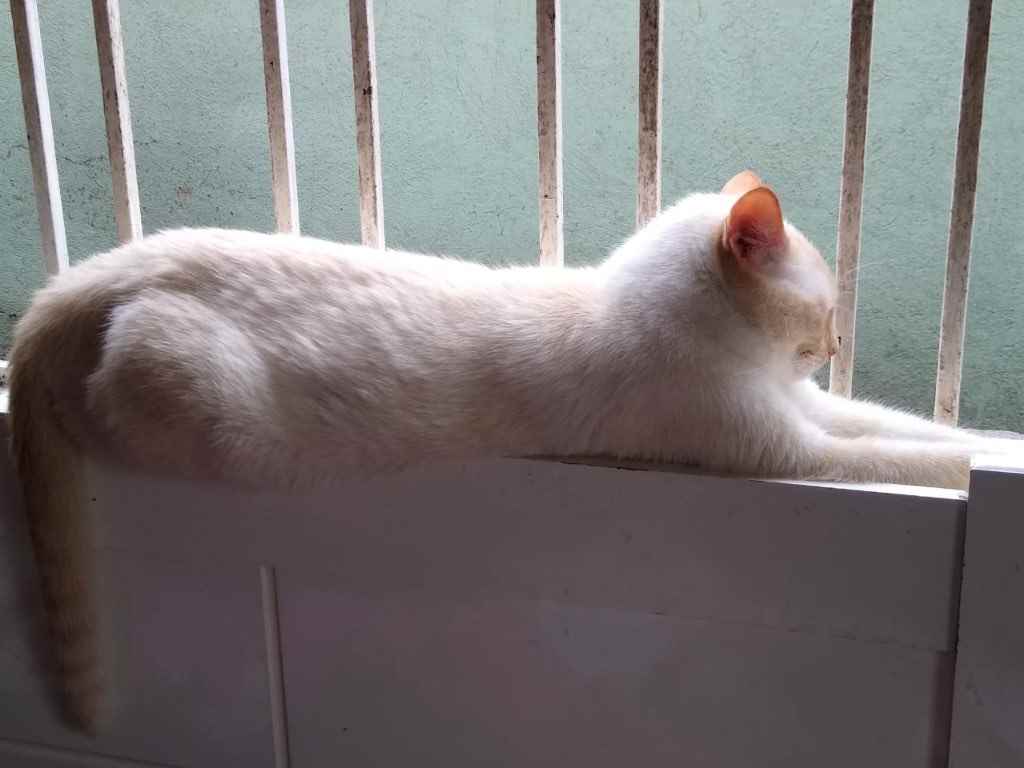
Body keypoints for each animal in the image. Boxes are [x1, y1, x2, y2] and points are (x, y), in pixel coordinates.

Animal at [8, 170, 1021, 732]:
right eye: (825, 307)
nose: (836, 343)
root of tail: (130, 261)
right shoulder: (784, 449)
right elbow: (904, 460)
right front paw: (983, 460)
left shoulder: (811, 411)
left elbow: (916, 431)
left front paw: (992, 439)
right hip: (193, 404)